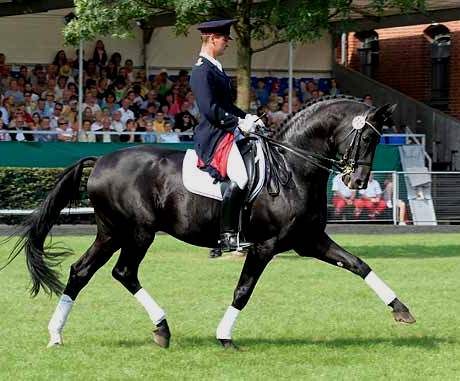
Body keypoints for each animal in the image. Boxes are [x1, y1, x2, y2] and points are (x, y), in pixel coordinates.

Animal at [9, 95, 416, 348]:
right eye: (365, 138)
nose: (356, 182)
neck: (292, 169)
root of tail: (102, 160)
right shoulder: (265, 246)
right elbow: (243, 291)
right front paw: (224, 336)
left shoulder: (309, 240)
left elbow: (359, 265)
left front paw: (401, 310)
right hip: (137, 233)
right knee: (123, 272)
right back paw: (161, 328)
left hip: (111, 233)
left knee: (81, 272)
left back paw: (56, 334)